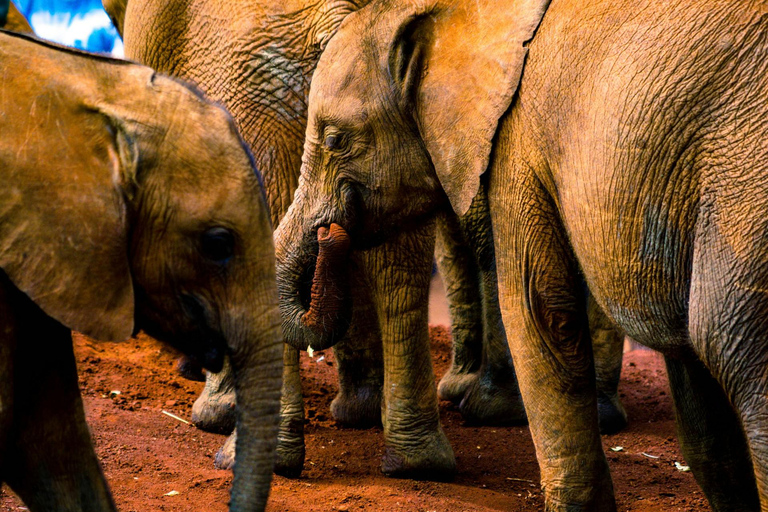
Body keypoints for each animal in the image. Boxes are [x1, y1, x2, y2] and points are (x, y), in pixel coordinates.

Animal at [276, 0, 768, 508]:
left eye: (335, 139)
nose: (330, 232)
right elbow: (703, 420)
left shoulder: (517, 139)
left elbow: (540, 311)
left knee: (732, 354)